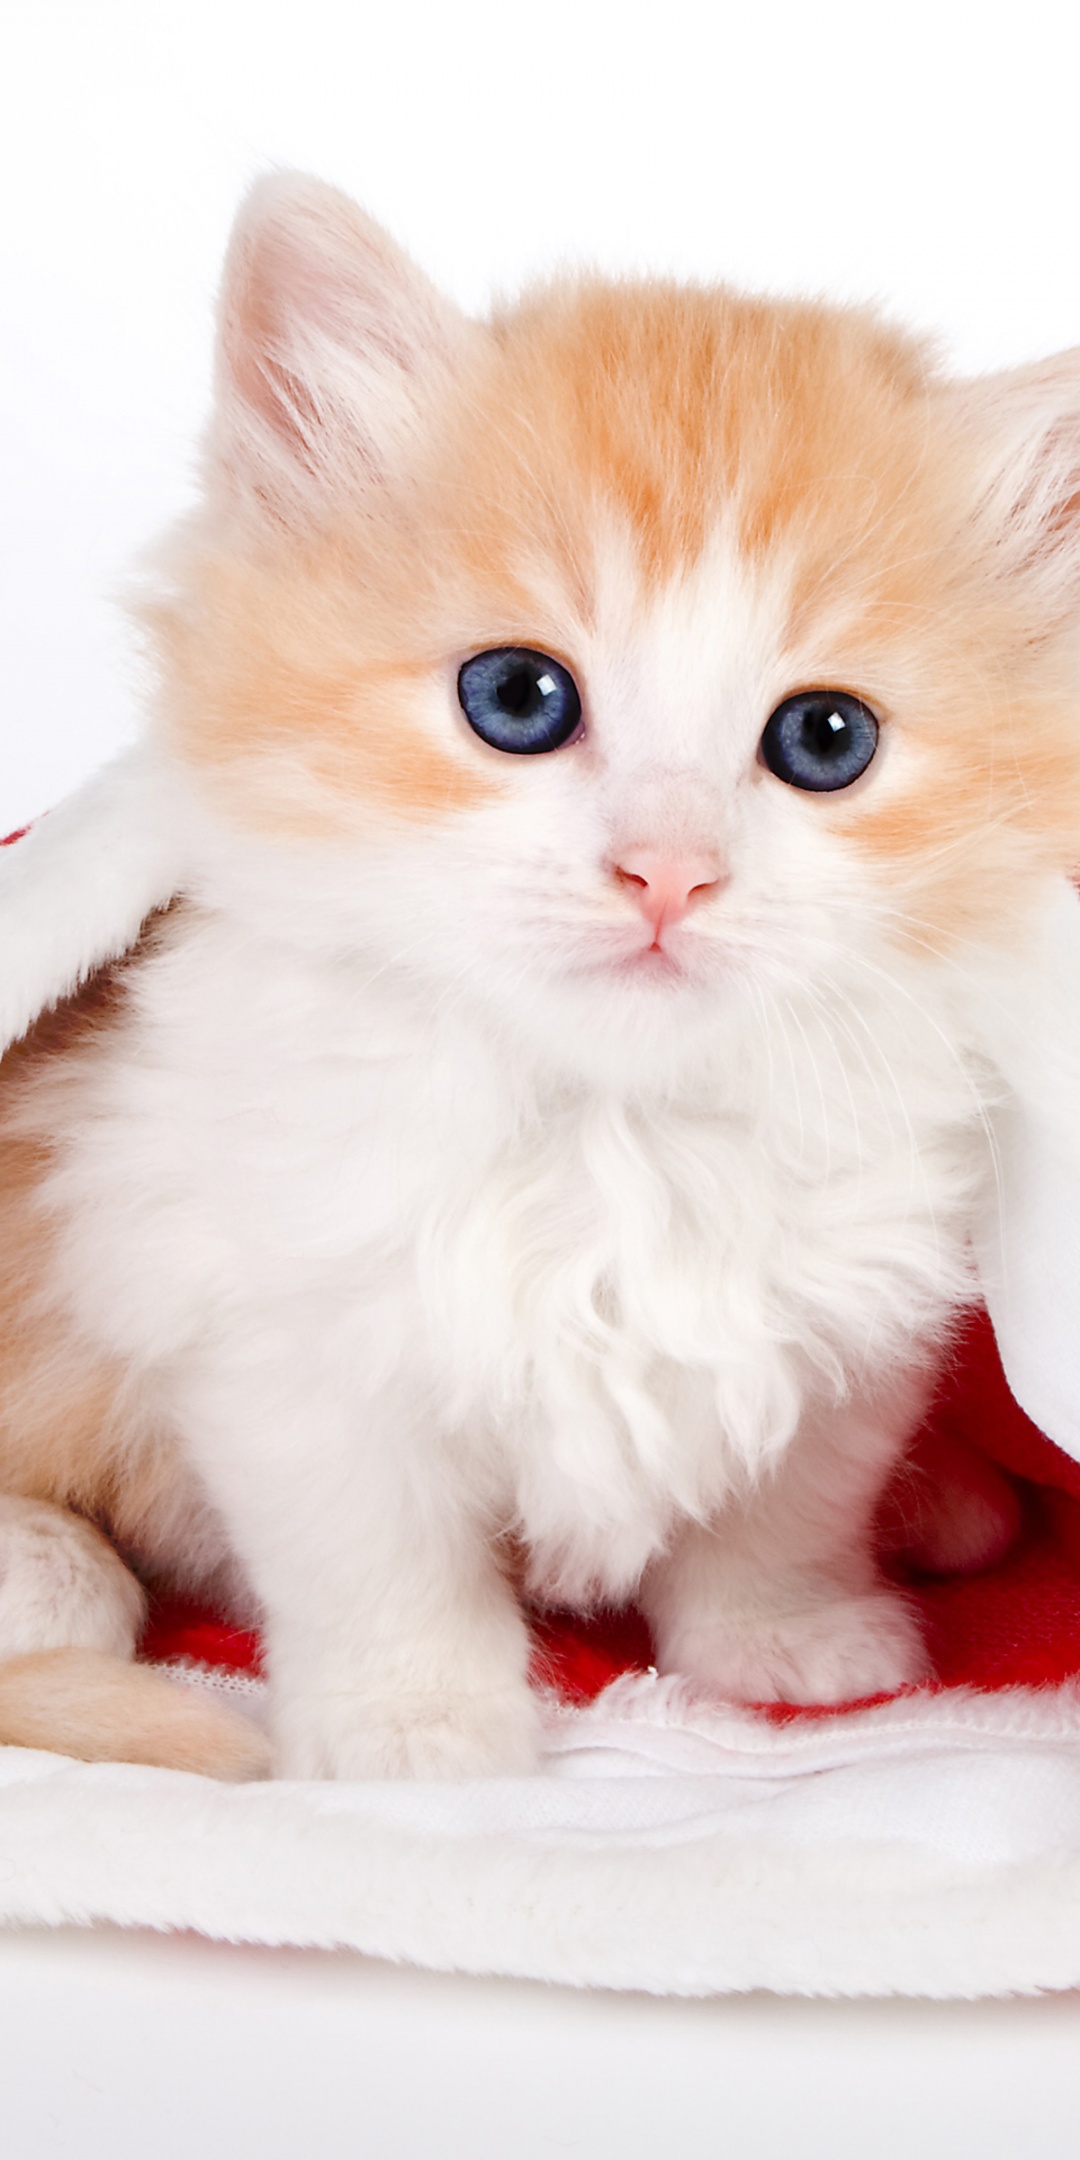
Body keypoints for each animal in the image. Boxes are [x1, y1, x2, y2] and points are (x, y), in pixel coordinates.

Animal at [2, 177, 1080, 1779]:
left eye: (826, 738)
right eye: (517, 698)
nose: (667, 873)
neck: (615, 1137)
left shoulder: (849, 1329)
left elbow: (785, 1500)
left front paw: (788, 1635)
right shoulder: (268, 1322)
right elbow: (378, 1559)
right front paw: (416, 1726)